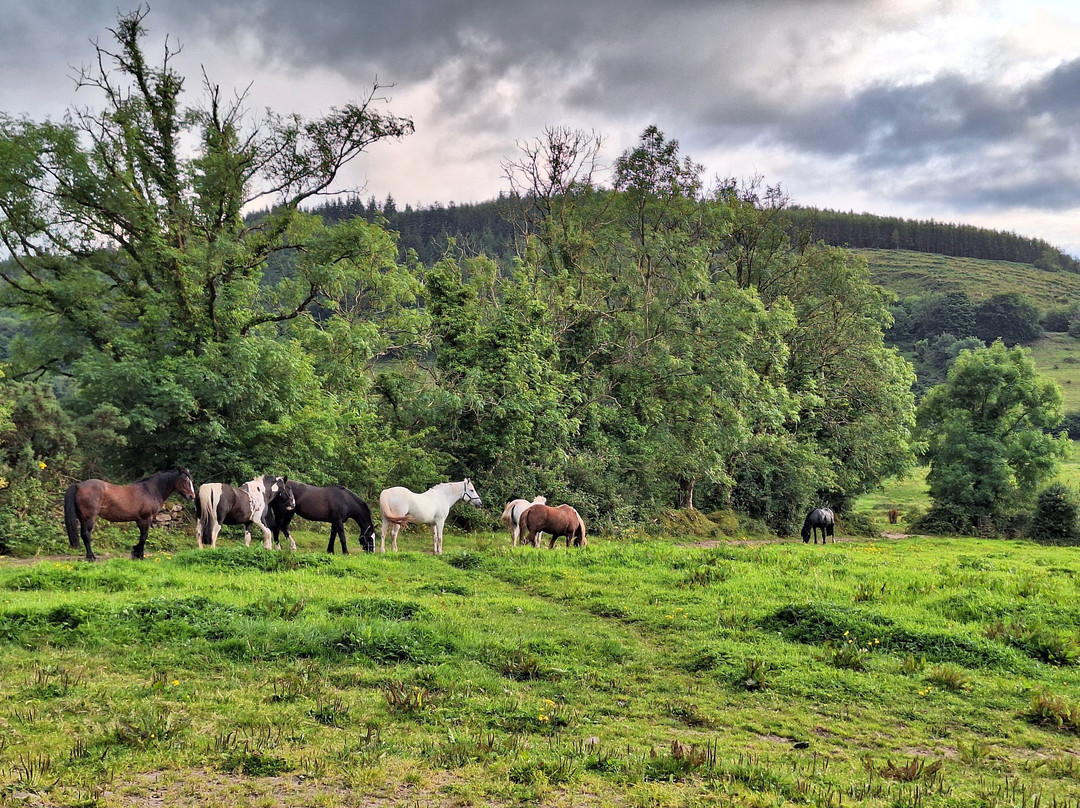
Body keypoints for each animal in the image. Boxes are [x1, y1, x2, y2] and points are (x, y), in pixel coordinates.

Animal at [62, 466, 196, 561]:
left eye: (191, 479)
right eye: (184, 480)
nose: (192, 496)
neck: (151, 490)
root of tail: (78, 485)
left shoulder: (139, 520)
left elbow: (142, 537)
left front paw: (136, 552)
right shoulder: (146, 518)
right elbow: (144, 537)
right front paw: (139, 554)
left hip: (82, 518)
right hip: (89, 518)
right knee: (86, 535)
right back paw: (91, 556)